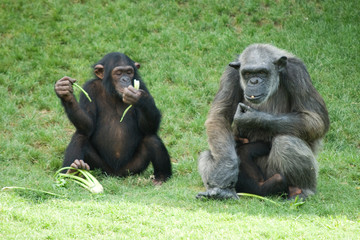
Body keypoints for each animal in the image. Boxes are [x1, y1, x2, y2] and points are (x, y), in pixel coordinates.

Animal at [54, 52, 172, 184]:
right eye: (119, 73)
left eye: (129, 72)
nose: (125, 79)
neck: (114, 92)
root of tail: (115, 174)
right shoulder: (89, 88)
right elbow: (88, 126)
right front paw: (65, 93)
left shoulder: (142, 85)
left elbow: (148, 128)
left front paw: (140, 97)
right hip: (100, 167)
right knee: (80, 136)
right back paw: (71, 173)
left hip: (132, 169)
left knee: (152, 138)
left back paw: (161, 177)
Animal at [197, 44, 330, 200]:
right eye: (247, 73)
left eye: (262, 72)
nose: (254, 81)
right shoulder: (230, 75)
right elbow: (219, 116)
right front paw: (225, 171)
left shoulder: (297, 73)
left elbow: (315, 119)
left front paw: (252, 118)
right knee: (209, 153)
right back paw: (222, 191)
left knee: (287, 143)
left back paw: (301, 191)